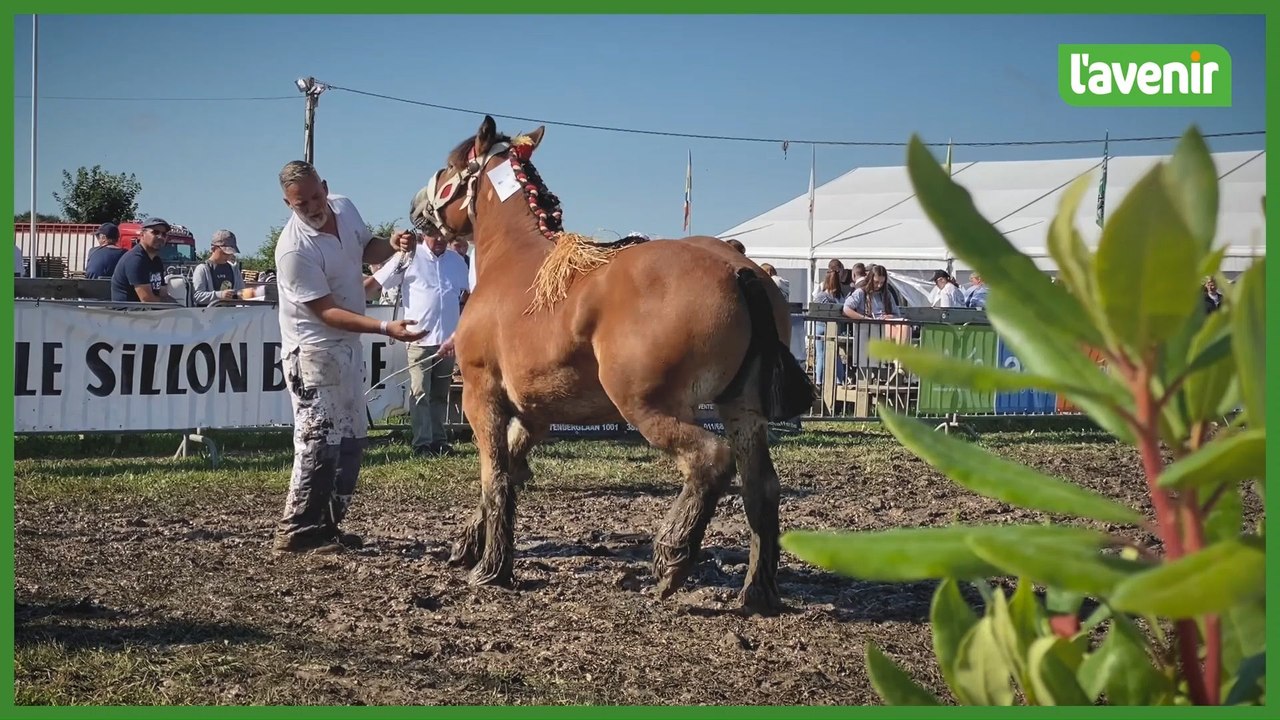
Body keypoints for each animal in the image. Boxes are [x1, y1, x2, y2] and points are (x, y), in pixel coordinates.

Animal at [408, 115, 817, 615]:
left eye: (450, 166)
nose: (416, 206)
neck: (514, 264)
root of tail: (738, 269)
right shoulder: (534, 413)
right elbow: (510, 472)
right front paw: (469, 543)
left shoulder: (481, 394)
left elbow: (495, 477)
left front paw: (491, 568)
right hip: (740, 408)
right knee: (762, 487)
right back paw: (757, 591)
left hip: (647, 406)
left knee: (710, 461)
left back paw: (671, 559)